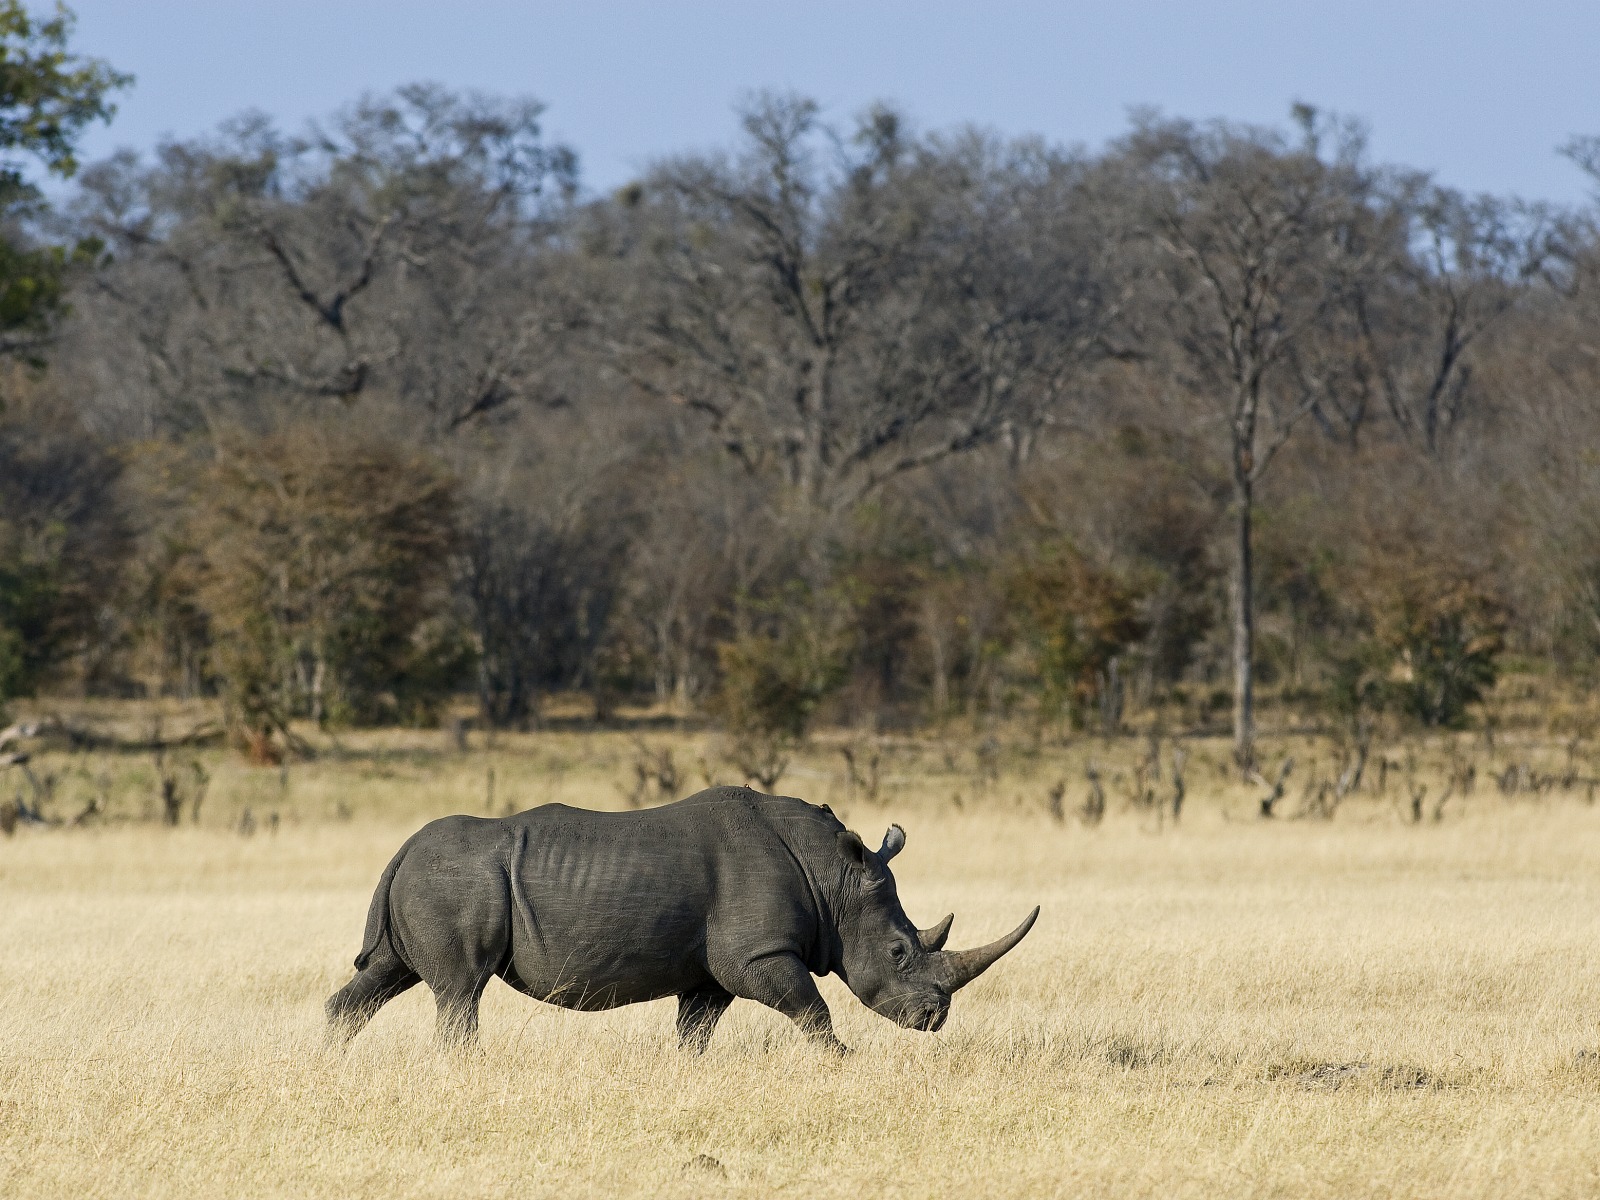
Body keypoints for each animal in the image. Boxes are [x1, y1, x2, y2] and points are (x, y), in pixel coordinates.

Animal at [326, 785, 1038, 1053]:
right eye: (898, 954)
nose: (933, 1019)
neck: (833, 880)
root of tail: (402, 849)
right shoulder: (756, 953)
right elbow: (813, 1011)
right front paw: (844, 1062)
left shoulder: (713, 970)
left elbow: (695, 1031)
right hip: (454, 880)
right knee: (459, 988)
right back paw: (466, 1067)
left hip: (428, 880)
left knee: (387, 976)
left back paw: (331, 1060)